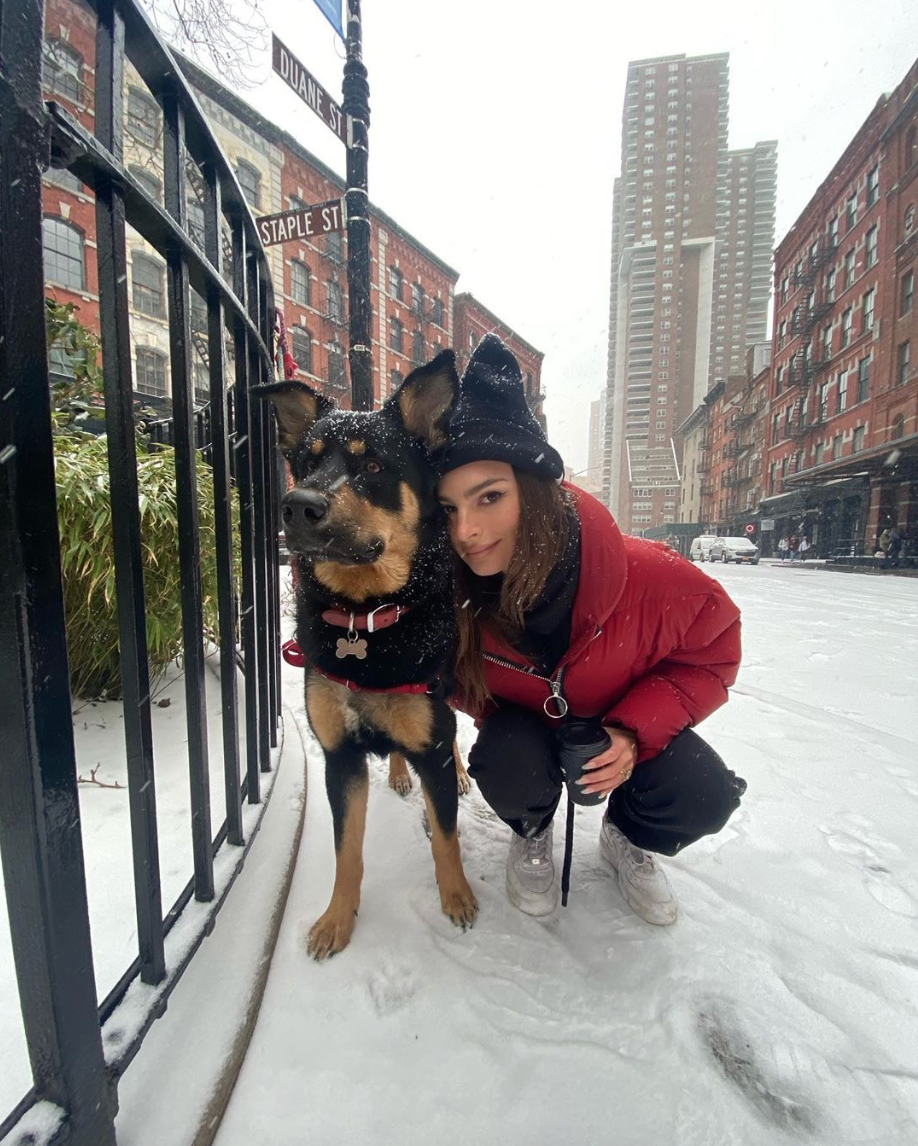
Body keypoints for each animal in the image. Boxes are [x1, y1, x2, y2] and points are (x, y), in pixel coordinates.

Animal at [254, 352, 476, 962]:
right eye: (306, 463)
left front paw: (458, 899)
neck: (366, 617)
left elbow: (445, 835)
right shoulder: (341, 757)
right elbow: (345, 851)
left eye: (373, 465)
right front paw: (336, 920)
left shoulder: (431, 740)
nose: (296, 505)